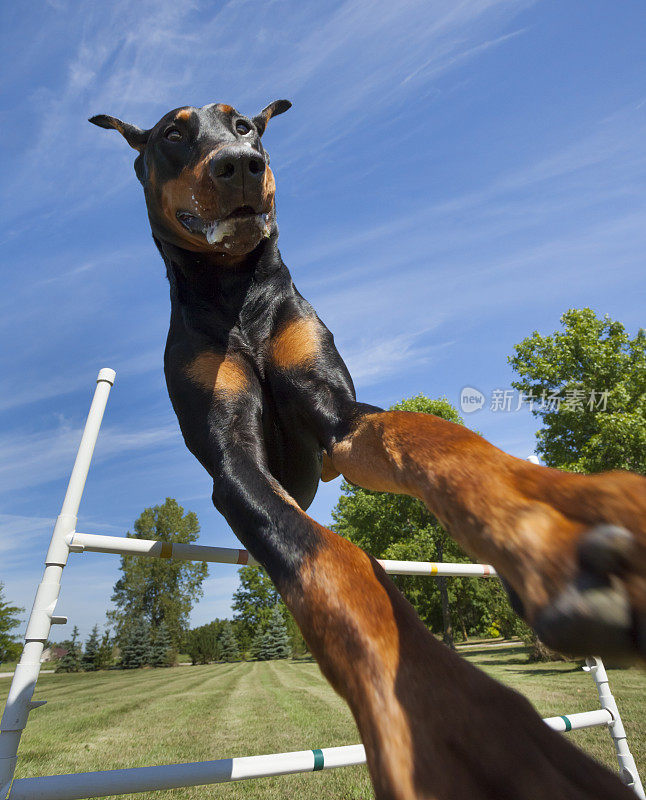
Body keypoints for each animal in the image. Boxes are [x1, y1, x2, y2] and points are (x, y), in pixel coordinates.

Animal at [90, 103, 644, 796]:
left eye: (244, 126)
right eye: (172, 133)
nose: (242, 164)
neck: (235, 290)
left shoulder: (338, 415)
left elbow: (430, 436)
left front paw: (554, 524)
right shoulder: (233, 460)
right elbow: (333, 559)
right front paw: (452, 718)